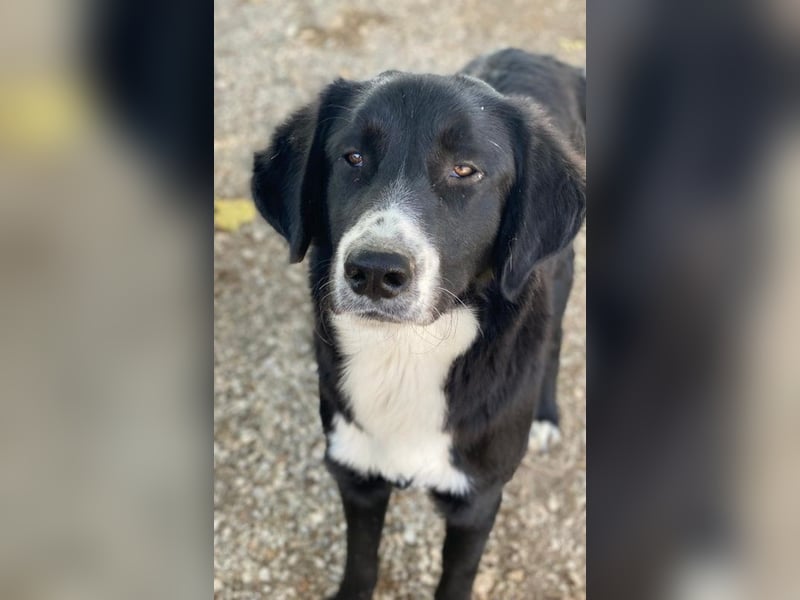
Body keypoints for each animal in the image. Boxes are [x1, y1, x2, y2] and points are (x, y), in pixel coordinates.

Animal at [251, 48, 585, 600]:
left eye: (465, 170)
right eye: (352, 158)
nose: (374, 271)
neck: (406, 352)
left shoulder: (477, 500)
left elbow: (456, 579)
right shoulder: (356, 475)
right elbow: (361, 563)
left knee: (553, 342)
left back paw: (545, 416)